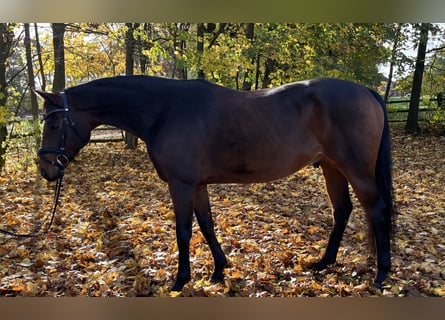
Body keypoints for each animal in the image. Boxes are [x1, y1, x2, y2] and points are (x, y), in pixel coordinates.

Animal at [36, 75, 394, 292]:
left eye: (53, 123)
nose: (45, 169)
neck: (164, 110)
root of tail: (365, 91)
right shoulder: (197, 185)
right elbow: (207, 224)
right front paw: (219, 270)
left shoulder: (181, 184)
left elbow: (183, 231)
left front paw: (181, 281)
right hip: (331, 168)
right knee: (342, 211)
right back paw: (324, 262)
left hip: (356, 170)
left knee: (376, 211)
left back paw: (381, 274)